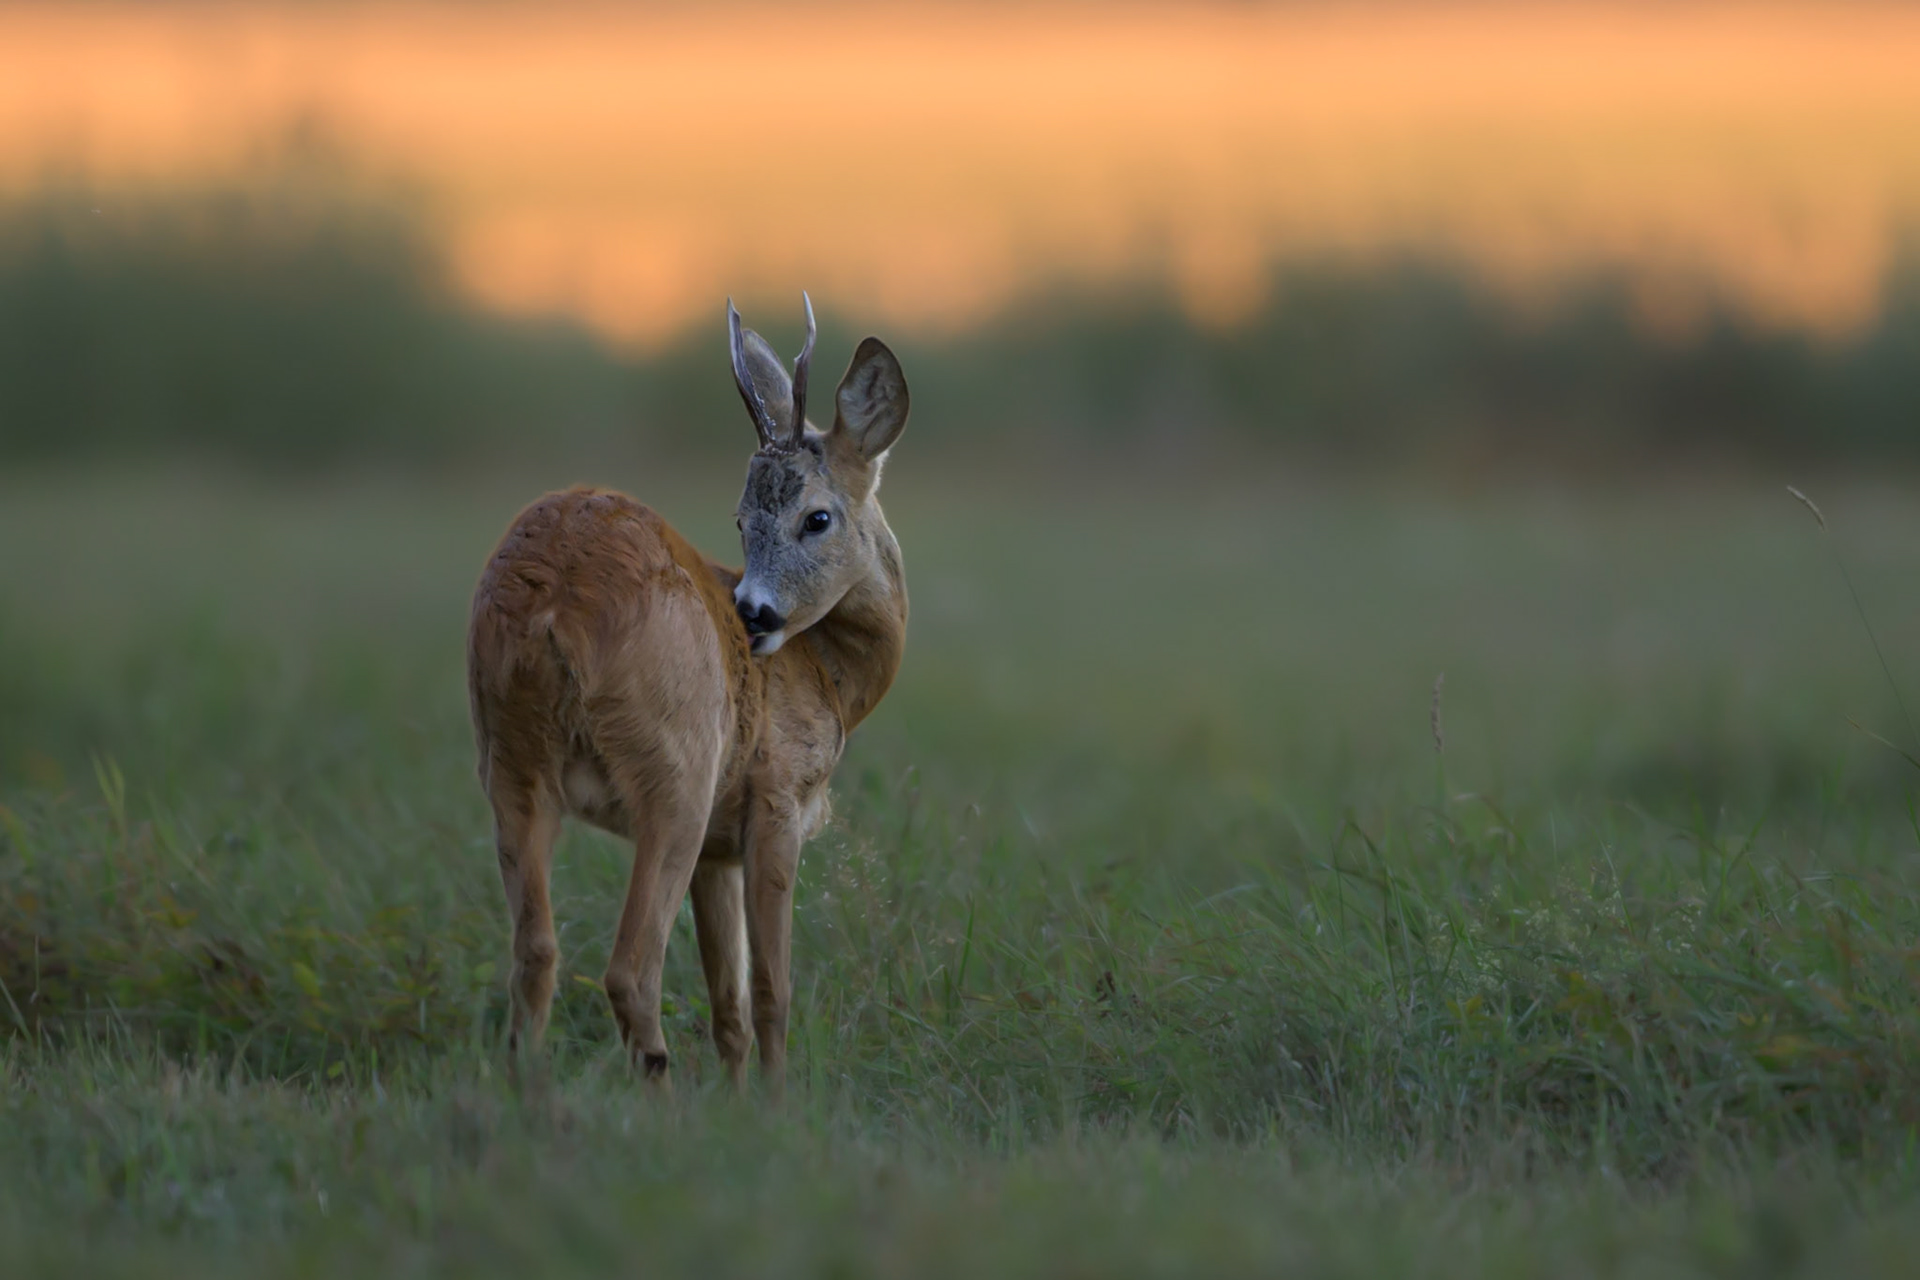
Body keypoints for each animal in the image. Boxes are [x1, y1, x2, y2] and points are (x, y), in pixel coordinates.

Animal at [466, 295, 910, 1097]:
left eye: (815, 516)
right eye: (741, 519)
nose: (753, 613)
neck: (824, 674)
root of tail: (554, 606)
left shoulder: (717, 849)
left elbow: (727, 1002)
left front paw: (736, 1103)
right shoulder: (773, 803)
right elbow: (770, 990)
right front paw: (774, 1105)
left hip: (509, 765)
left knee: (535, 953)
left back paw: (528, 1091)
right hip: (674, 772)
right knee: (629, 970)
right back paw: (659, 1101)